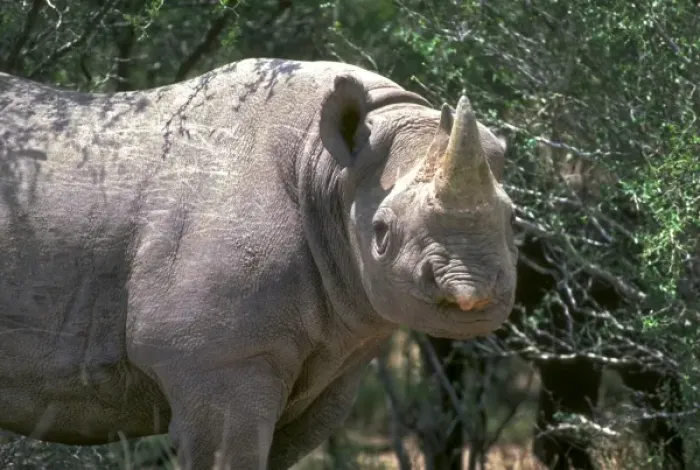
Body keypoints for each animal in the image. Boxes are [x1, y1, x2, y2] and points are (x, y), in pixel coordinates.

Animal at [0, 58, 518, 469]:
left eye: (513, 219)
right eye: (381, 234)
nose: (472, 292)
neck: (329, 173)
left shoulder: (331, 365)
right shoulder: (216, 361)